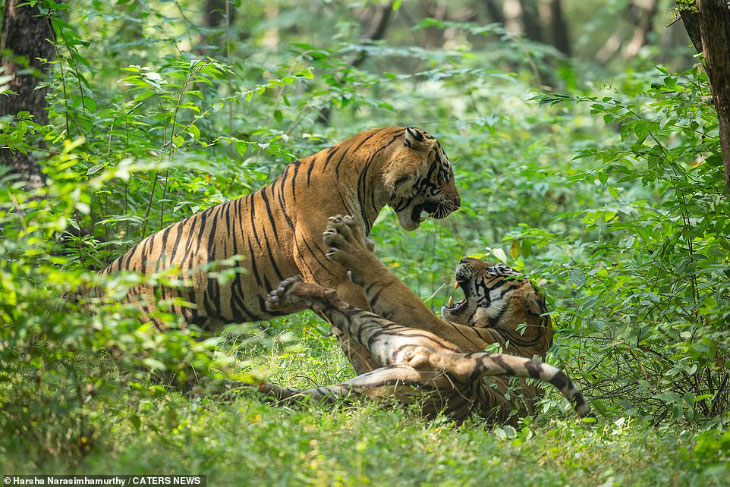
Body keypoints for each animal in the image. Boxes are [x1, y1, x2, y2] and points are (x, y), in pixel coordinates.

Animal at [100, 127, 458, 374]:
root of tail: (105, 273)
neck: (370, 186)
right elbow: (358, 329)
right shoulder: (338, 279)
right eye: (445, 172)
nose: (457, 204)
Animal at [262, 214, 592, 424]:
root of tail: (464, 372)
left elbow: (391, 284)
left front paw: (353, 250)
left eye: (495, 270)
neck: (525, 338)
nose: (463, 259)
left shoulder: (430, 322)